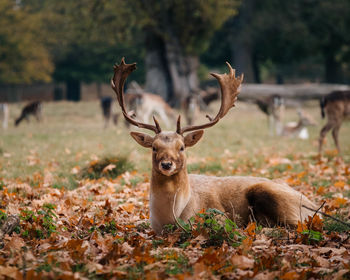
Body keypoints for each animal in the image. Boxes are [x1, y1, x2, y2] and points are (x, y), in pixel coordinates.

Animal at [110, 58, 316, 234]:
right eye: (154, 147)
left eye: (182, 147)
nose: (167, 164)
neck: (171, 217)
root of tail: (313, 207)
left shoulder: (217, 215)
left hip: (274, 197)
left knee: (295, 225)